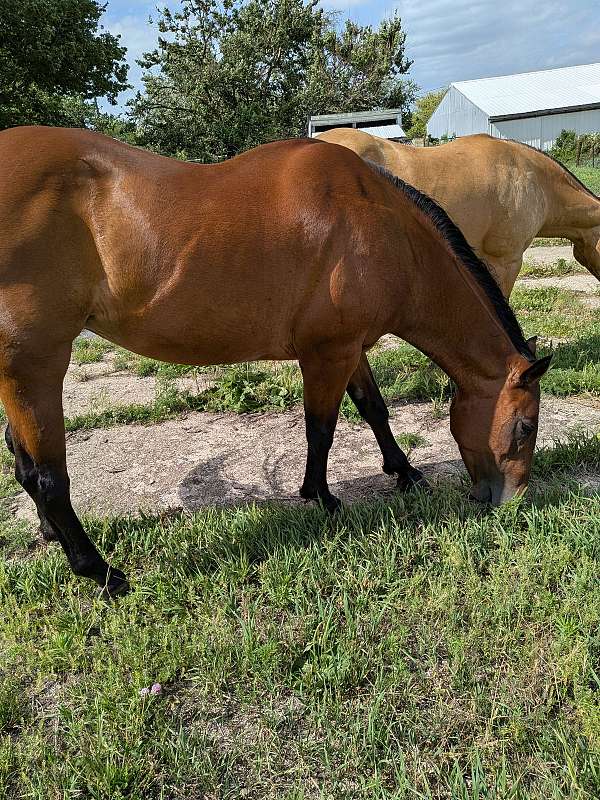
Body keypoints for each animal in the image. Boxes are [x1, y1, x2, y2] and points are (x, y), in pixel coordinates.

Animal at [0, 127, 551, 597]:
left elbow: (374, 410)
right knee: (46, 476)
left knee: (24, 462)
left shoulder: (350, 348)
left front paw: (405, 472)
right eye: (525, 427)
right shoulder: (329, 353)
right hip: (34, 366)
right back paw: (102, 572)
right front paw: (322, 496)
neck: (380, 225)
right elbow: (322, 428)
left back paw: (53, 535)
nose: (511, 502)